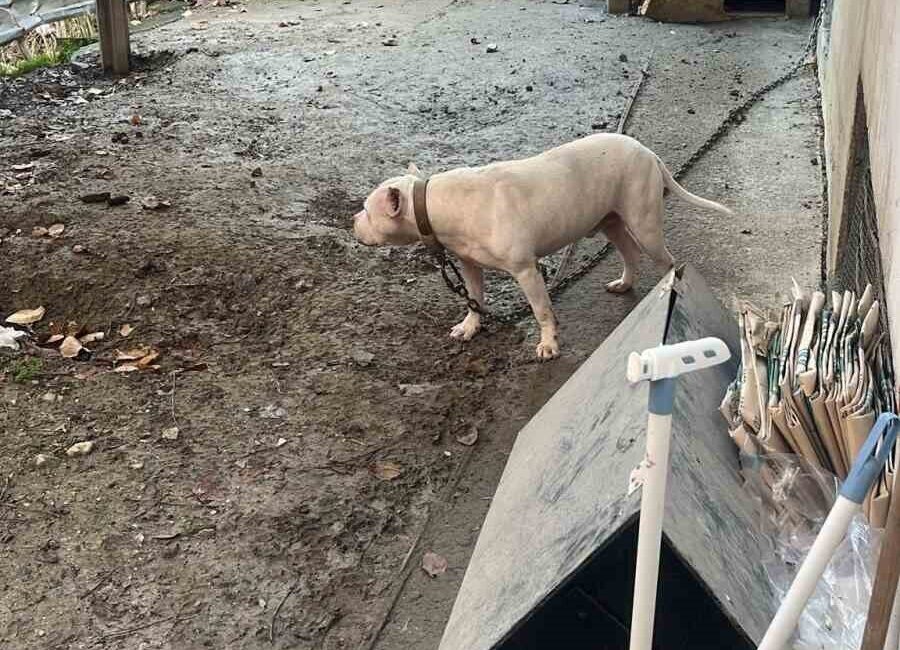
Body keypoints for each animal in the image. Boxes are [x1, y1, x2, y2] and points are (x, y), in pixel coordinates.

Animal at [352, 133, 732, 360]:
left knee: (666, 260)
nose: (353, 221)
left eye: (367, 210)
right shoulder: (469, 266)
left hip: (645, 223)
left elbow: (541, 310)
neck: (434, 203)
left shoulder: (526, 271)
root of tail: (648, 151)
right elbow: (475, 300)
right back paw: (625, 283)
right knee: (628, 250)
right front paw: (470, 327)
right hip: (610, 220)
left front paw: (549, 343)